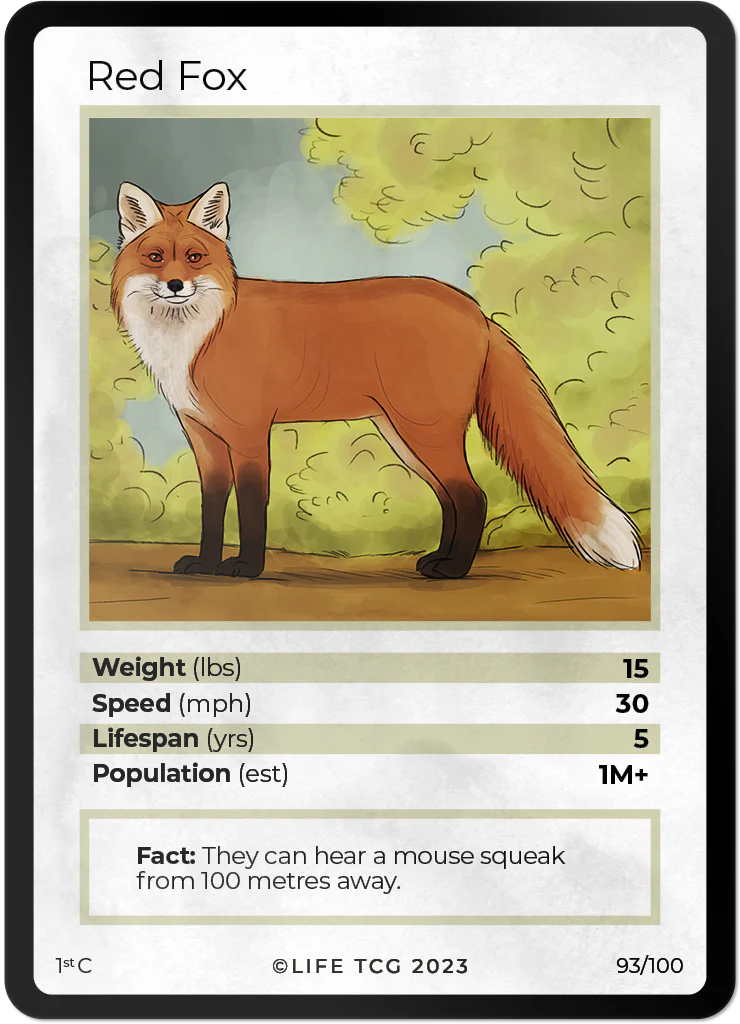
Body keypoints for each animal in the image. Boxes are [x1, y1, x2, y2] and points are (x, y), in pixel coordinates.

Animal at [110, 180, 641, 580]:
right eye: (155, 257)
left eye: (194, 258)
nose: (175, 285)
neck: (196, 336)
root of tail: (476, 310)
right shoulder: (202, 436)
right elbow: (212, 507)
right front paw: (205, 563)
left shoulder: (249, 433)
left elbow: (253, 506)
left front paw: (246, 568)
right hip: (404, 436)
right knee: (451, 498)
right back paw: (438, 560)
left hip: (423, 431)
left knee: (472, 496)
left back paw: (453, 573)